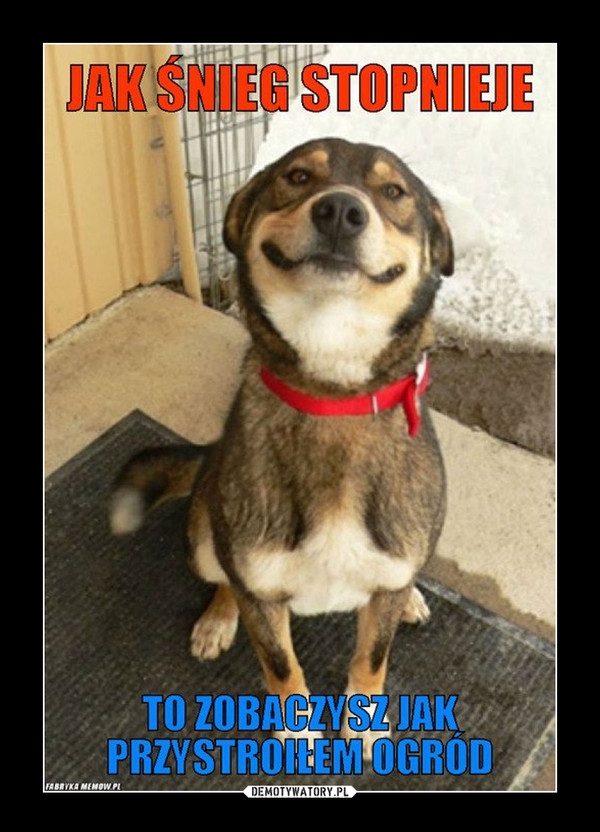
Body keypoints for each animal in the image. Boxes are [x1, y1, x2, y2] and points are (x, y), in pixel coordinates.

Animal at [109, 137, 454, 756]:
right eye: (297, 177)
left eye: (393, 191)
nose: (341, 210)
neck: (332, 395)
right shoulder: (258, 588)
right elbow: (281, 667)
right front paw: (299, 734)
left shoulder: (385, 585)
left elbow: (371, 660)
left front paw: (363, 725)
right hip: (204, 534)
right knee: (224, 580)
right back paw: (218, 619)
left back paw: (411, 596)